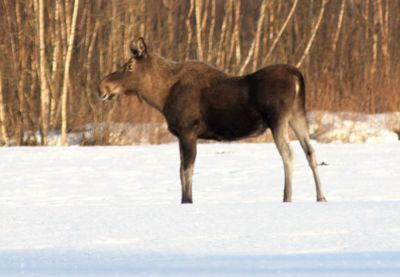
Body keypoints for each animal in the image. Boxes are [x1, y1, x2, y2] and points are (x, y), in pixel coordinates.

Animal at [98, 37, 326, 203]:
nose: (102, 87)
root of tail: (297, 76)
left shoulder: (187, 131)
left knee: (289, 154)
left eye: (129, 66)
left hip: (277, 118)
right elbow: (181, 170)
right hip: (297, 115)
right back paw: (321, 196)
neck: (161, 97)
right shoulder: (182, 135)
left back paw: (287, 197)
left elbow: (186, 170)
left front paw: (187, 200)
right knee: (310, 151)